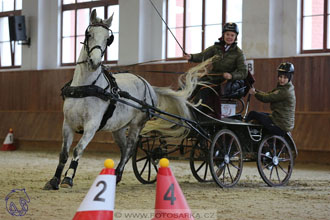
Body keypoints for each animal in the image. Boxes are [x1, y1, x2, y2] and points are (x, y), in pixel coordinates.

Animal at [44, 9, 208, 190]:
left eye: (107, 39)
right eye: (89, 34)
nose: (95, 62)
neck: (86, 86)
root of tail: (148, 85)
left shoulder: (91, 126)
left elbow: (78, 149)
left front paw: (68, 178)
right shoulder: (68, 123)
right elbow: (63, 154)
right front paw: (54, 180)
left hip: (137, 124)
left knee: (129, 148)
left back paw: (118, 174)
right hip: (118, 128)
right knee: (124, 150)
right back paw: (117, 175)